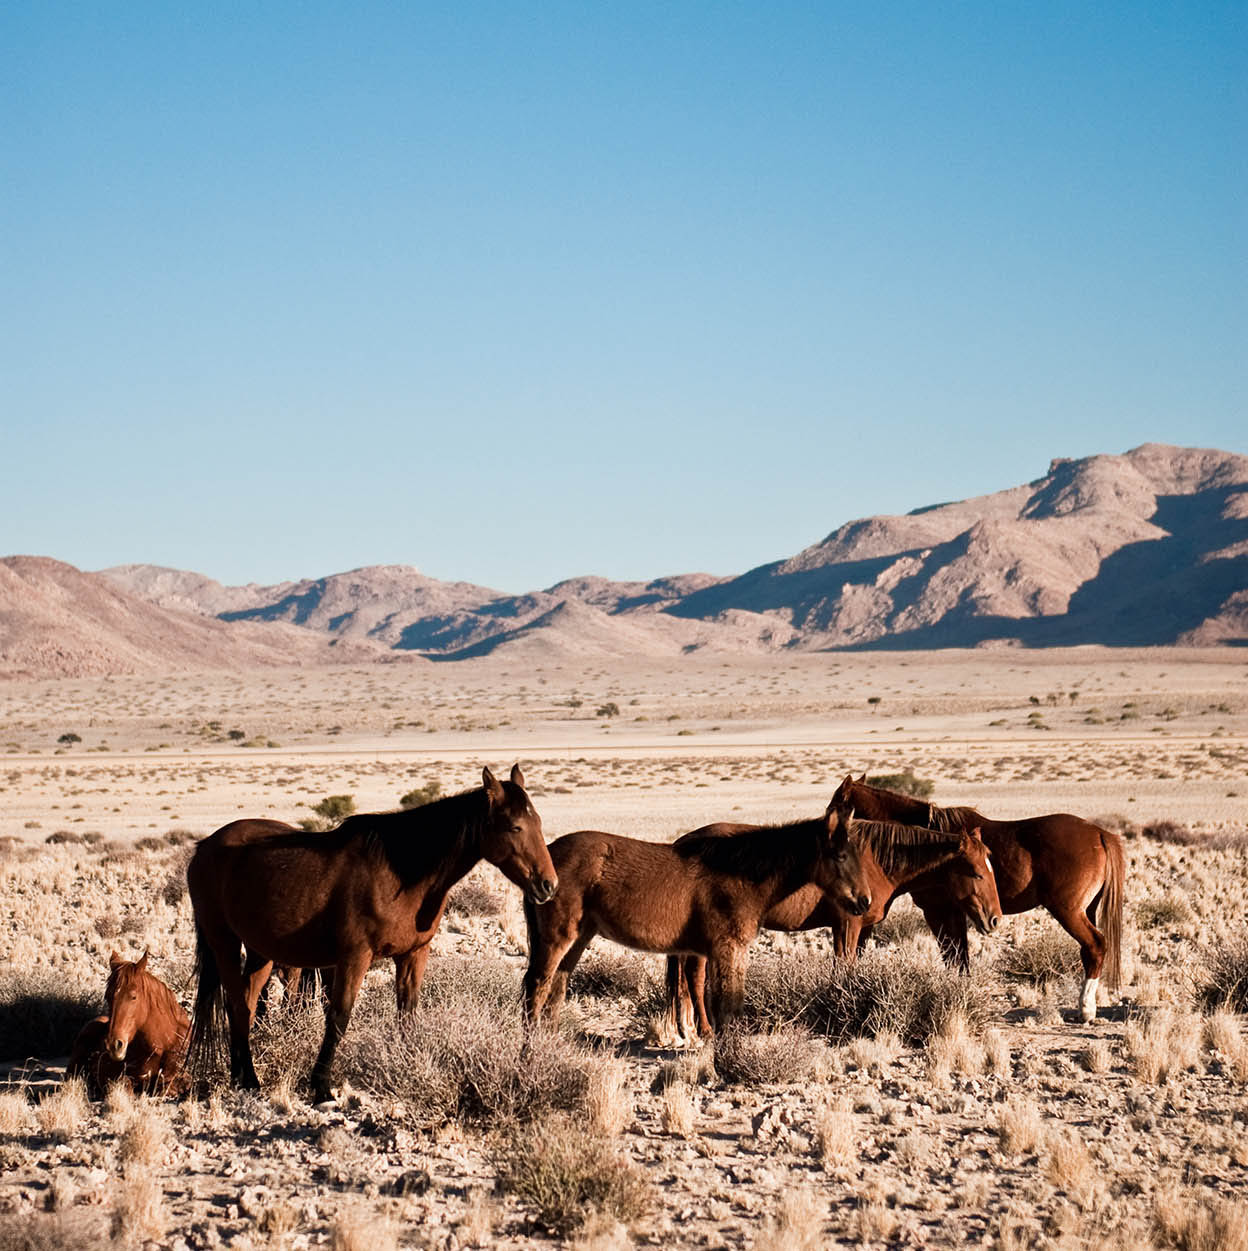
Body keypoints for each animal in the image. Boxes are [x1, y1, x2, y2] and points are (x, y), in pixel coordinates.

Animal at [69, 950, 190, 1100]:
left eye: (134, 997)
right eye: (107, 997)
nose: (113, 1045)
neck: (161, 1044)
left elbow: (166, 1086)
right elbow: (125, 1085)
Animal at [187, 755, 555, 1100]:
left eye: (538, 822)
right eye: (515, 827)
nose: (548, 885)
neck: (401, 874)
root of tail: (204, 847)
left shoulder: (413, 955)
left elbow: (407, 1014)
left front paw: (409, 1070)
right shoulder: (354, 957)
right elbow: (338, 1016)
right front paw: (322, 1087)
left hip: (260, 951)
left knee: (246, 1005)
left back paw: (241, 1077)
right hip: (224, 942)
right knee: (236, 1004)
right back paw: (248, 1079)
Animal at [522, 805, 875, 1030]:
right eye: (840, 855)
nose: (864, 900)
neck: (739, 872)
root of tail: (546, 863)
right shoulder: (728, 948)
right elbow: (728, 1002)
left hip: (580, 937)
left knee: (556, 987)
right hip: (558, 938)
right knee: (537, 984)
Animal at [665, 805, 1005, 1040]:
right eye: (977, 873)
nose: (994, 919)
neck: (875, 861)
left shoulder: (861, 927)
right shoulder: (846, 925)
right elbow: (844, 967)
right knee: (695, 977)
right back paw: (704, 1031)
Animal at [835, 765, 1130, 1020]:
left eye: (836, 806)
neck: (924, 840)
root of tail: (1100, 833)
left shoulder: (938, 911)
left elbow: (953, 954)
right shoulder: (954, 912)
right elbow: (958, 957)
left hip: (1068, 910)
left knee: (1095, 946)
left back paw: (1086, 1009)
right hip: (1086, 910)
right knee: (1090, 950)